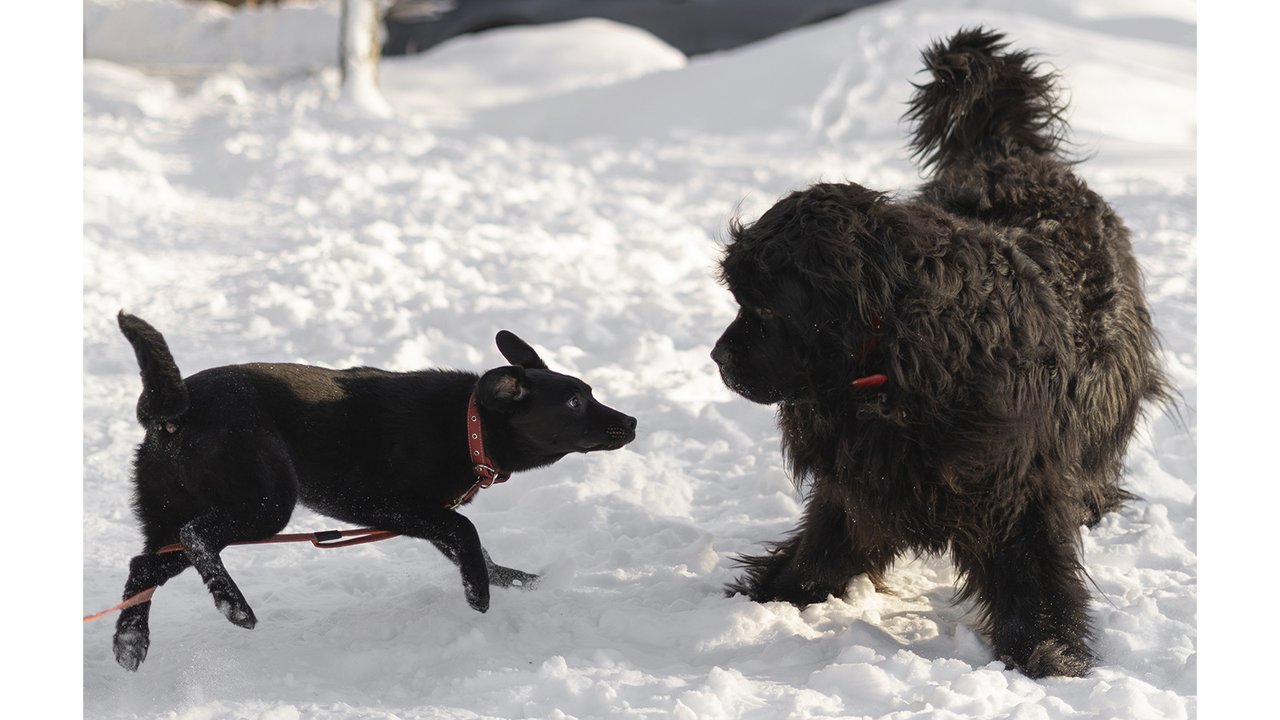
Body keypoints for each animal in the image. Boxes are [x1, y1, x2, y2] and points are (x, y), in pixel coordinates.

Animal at [112, 311, 637, 671]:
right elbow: (467, 530)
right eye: (574, 401)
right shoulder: (392, 506)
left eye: (588, 392)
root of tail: (175, 410)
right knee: (197, 537)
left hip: (172, 515)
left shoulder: (426, 514)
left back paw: (130, 642)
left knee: (143, 566)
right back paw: (234, 606)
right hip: (265, 503)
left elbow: (477, 549)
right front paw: (479, 596)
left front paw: (520, 581)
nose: (631, 421)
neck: (468, 424)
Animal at [711, 28, 1172, 676]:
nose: (718, 357)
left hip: (1106, 387)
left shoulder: (1015, 480)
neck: (903, 359)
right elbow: (827, 538)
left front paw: (1052, 656)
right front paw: (774, 592)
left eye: (767, 310)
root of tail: (1010, 156)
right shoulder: (866, 472)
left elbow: (1032, 574)